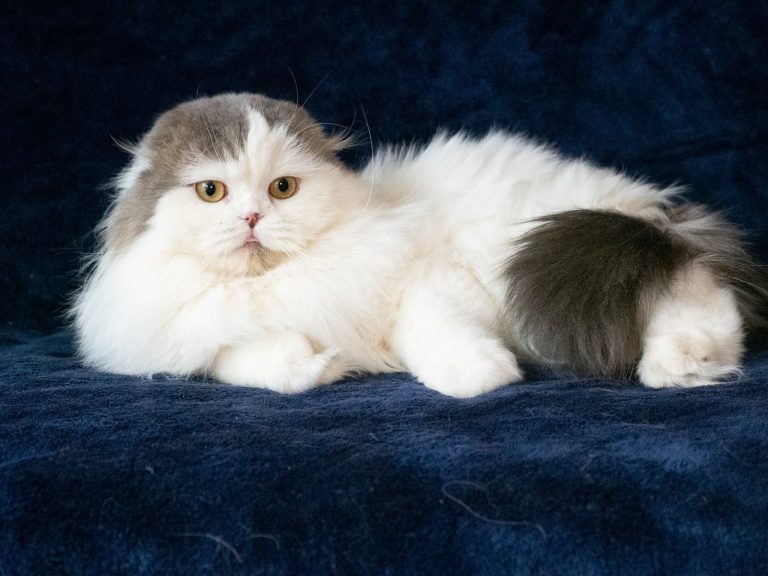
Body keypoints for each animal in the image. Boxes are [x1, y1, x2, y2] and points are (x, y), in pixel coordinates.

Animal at [69, 94, 764, 398]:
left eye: (282, 188)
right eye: (211, 191)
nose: (251, 218)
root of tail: (650, 204)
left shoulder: (430, 284)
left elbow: (436, 339)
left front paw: (481, 377)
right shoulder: (206, 342)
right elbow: (261, 364)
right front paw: (324, 363)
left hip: (551, 255)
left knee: (704, 302)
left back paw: (679, 368)